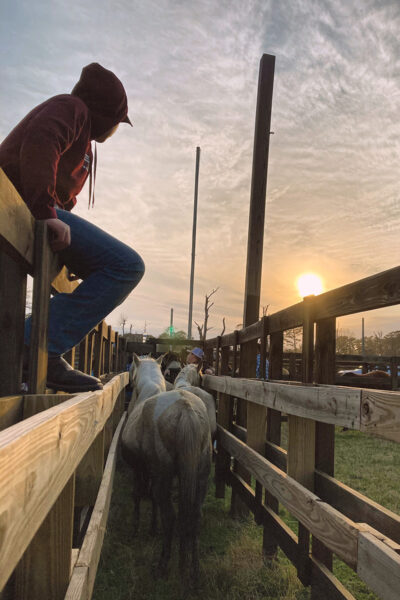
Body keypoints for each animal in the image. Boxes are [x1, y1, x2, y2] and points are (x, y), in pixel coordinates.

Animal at [120, 354, 211, 580]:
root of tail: (185, 409)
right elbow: (152, 499)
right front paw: (152, 528)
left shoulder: (140, 469)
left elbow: (138, 494)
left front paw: (136, 529)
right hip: (201, 477)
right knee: (195, 517)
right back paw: (194, 571)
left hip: (164, 475)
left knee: (169, 517)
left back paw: (163, 565)